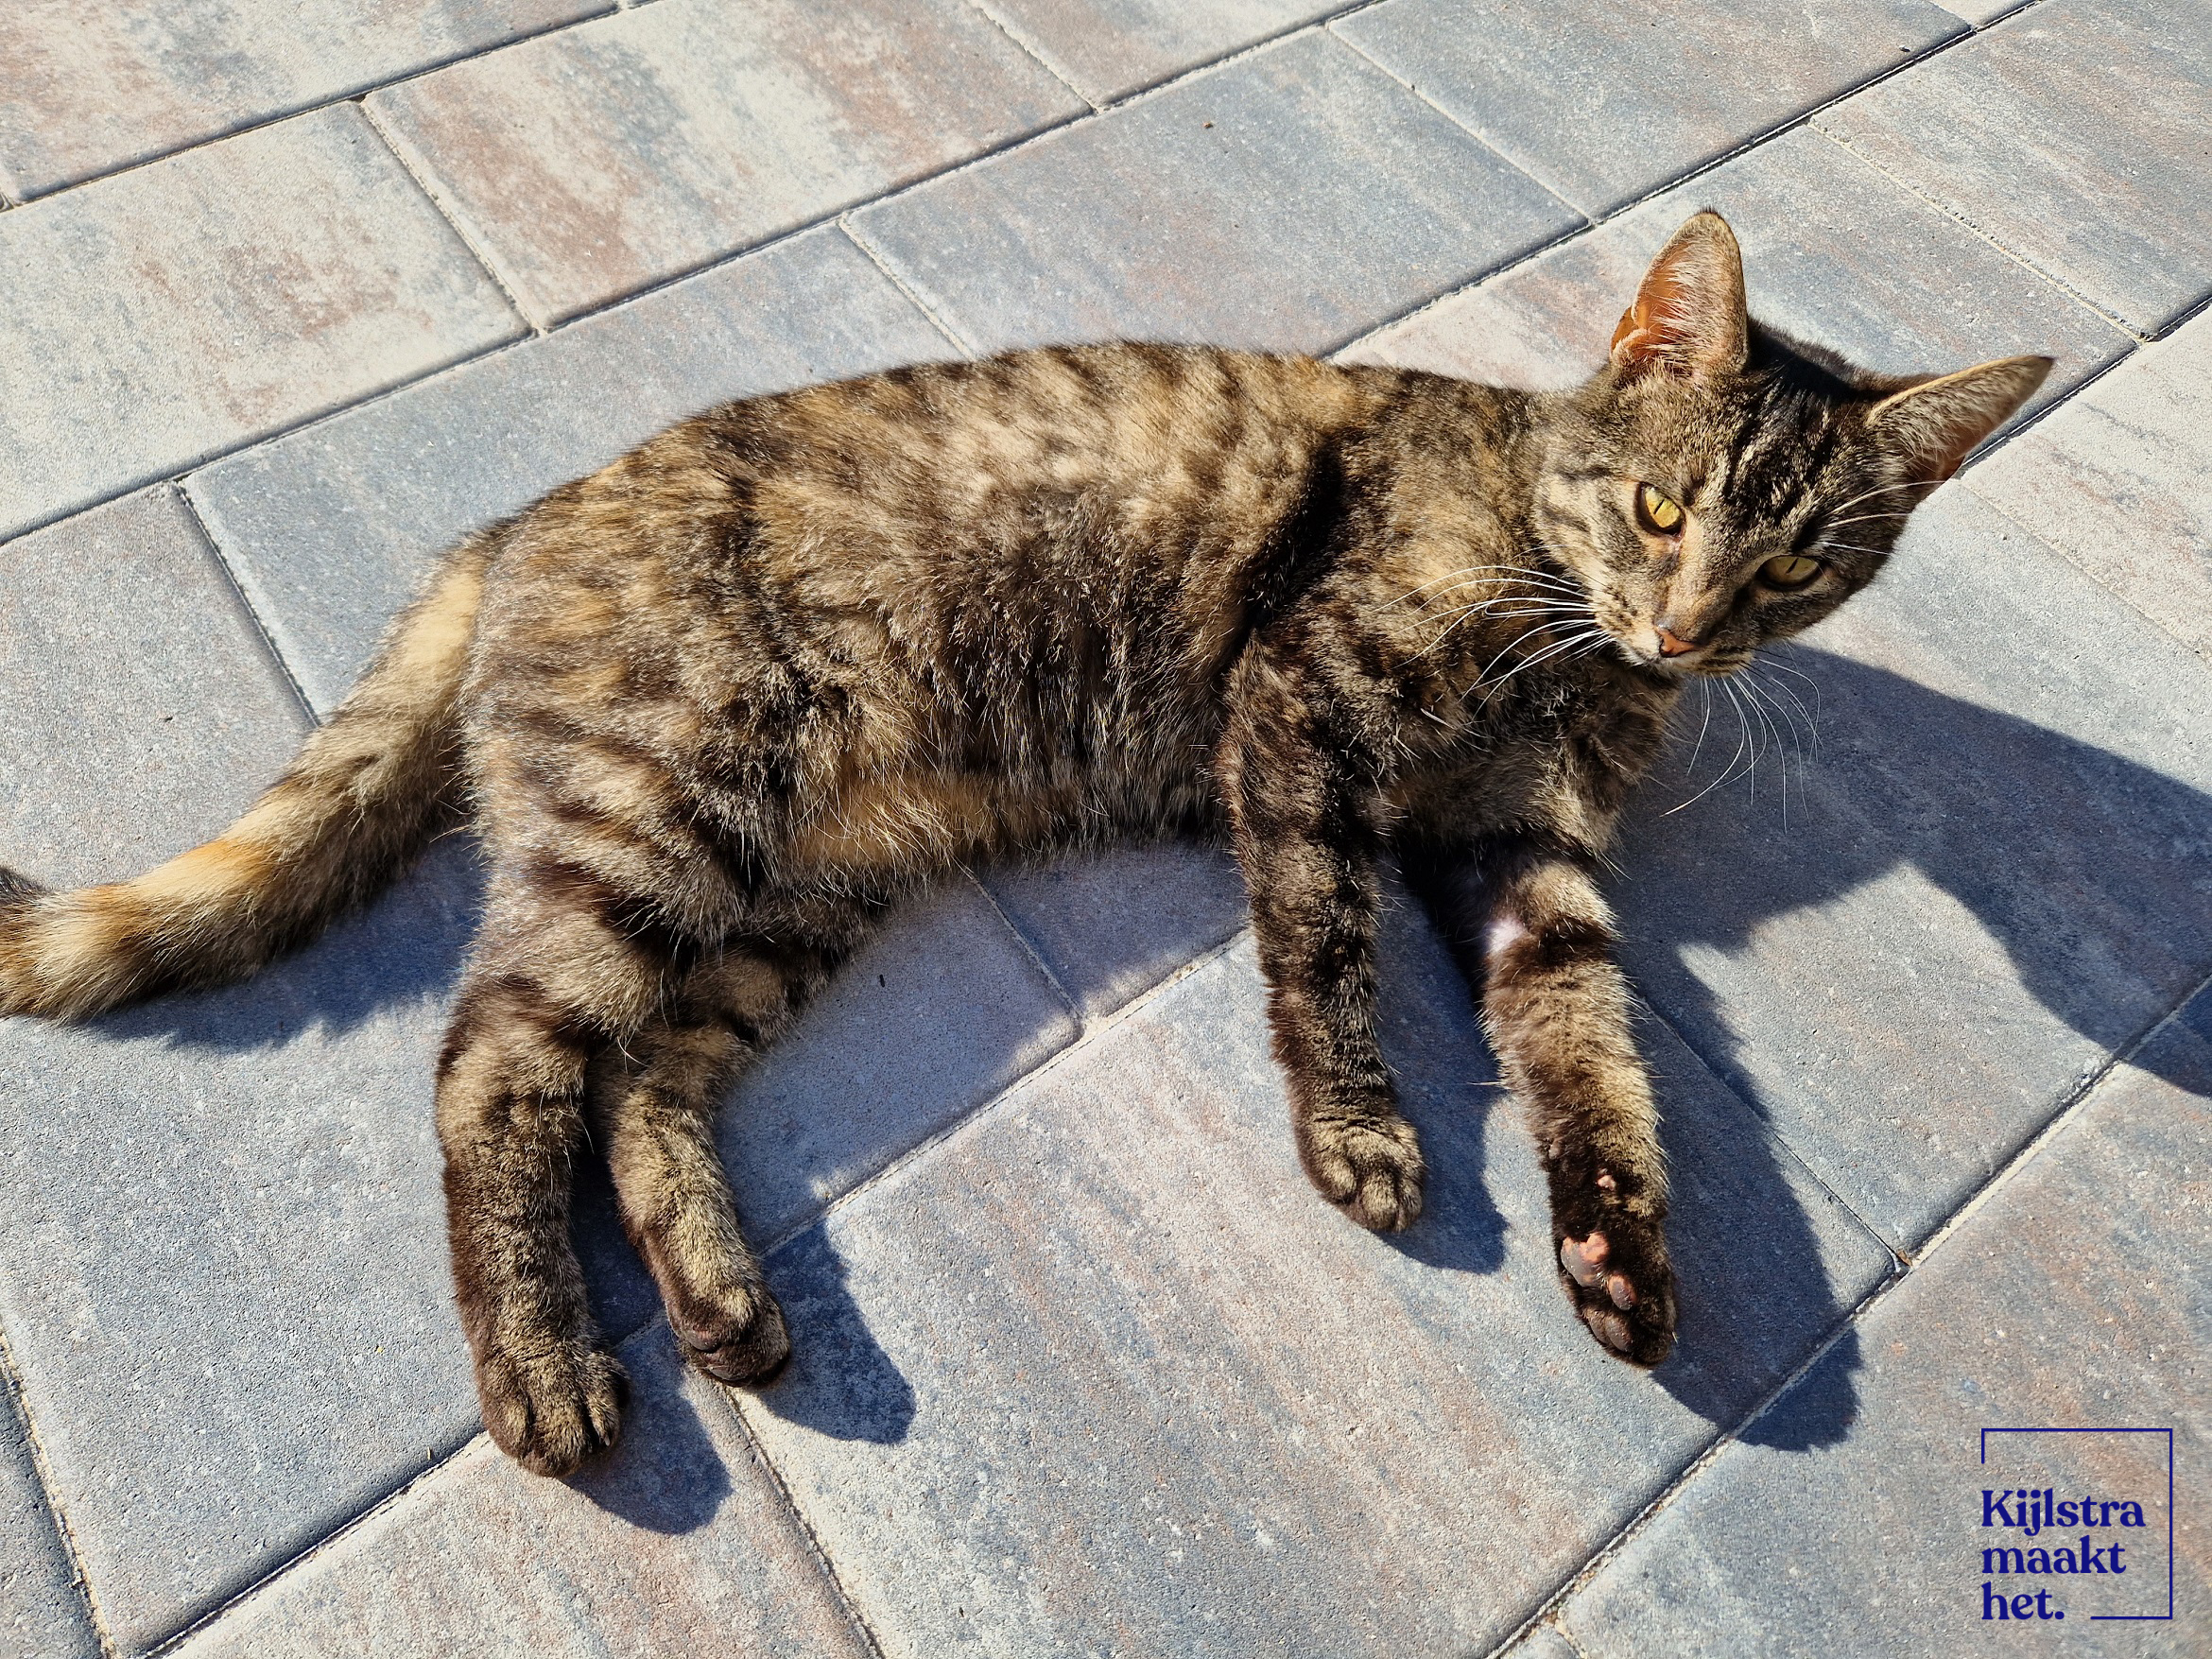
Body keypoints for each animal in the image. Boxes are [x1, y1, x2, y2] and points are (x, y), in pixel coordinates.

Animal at [0, 211, 2048, 1477]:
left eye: (1791, 567)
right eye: (1660, 508)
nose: (1686, 629)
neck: (1561, 632)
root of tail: (519, 519)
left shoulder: (1528, 859)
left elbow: (1592, 1046)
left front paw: (1623, 1241)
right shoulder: (1300, 715)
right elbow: (1326, 946)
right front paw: (1364, 1136)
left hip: (786, 889)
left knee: (644, 1077)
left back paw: (719, 1299)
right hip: (656, 819)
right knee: (498, 1063)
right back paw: (547, 1364)